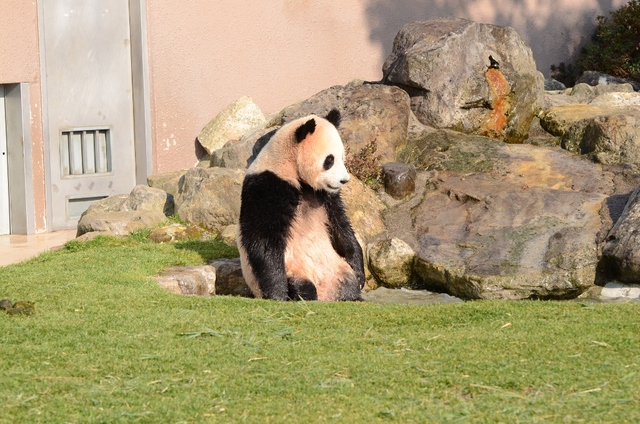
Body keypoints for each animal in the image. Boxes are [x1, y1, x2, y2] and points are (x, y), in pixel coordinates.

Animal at [236, 109, 364, 302]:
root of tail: (326, 294)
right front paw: (277, 293)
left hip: (336, 269)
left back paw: (351, 295)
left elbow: (341, 226)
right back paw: (304, 294)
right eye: (329, 160)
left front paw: (360, 273)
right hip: (294, 269)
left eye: (342, 158)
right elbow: (263, 238)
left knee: (348, 283)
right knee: (301, 286)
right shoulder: (268, 185)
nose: (344, 180)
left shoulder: (325, 195)